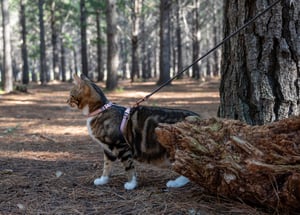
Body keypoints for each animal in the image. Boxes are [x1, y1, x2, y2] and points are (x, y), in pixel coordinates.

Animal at [67, 74, 200, 190]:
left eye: (71, 95)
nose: (66, 101)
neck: (100, 110)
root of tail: (199, 117)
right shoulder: (107, 149)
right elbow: (106, 166)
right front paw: (103, 180)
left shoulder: (121, 145)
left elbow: (128, 166)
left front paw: (131, 184)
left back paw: (176, 183)